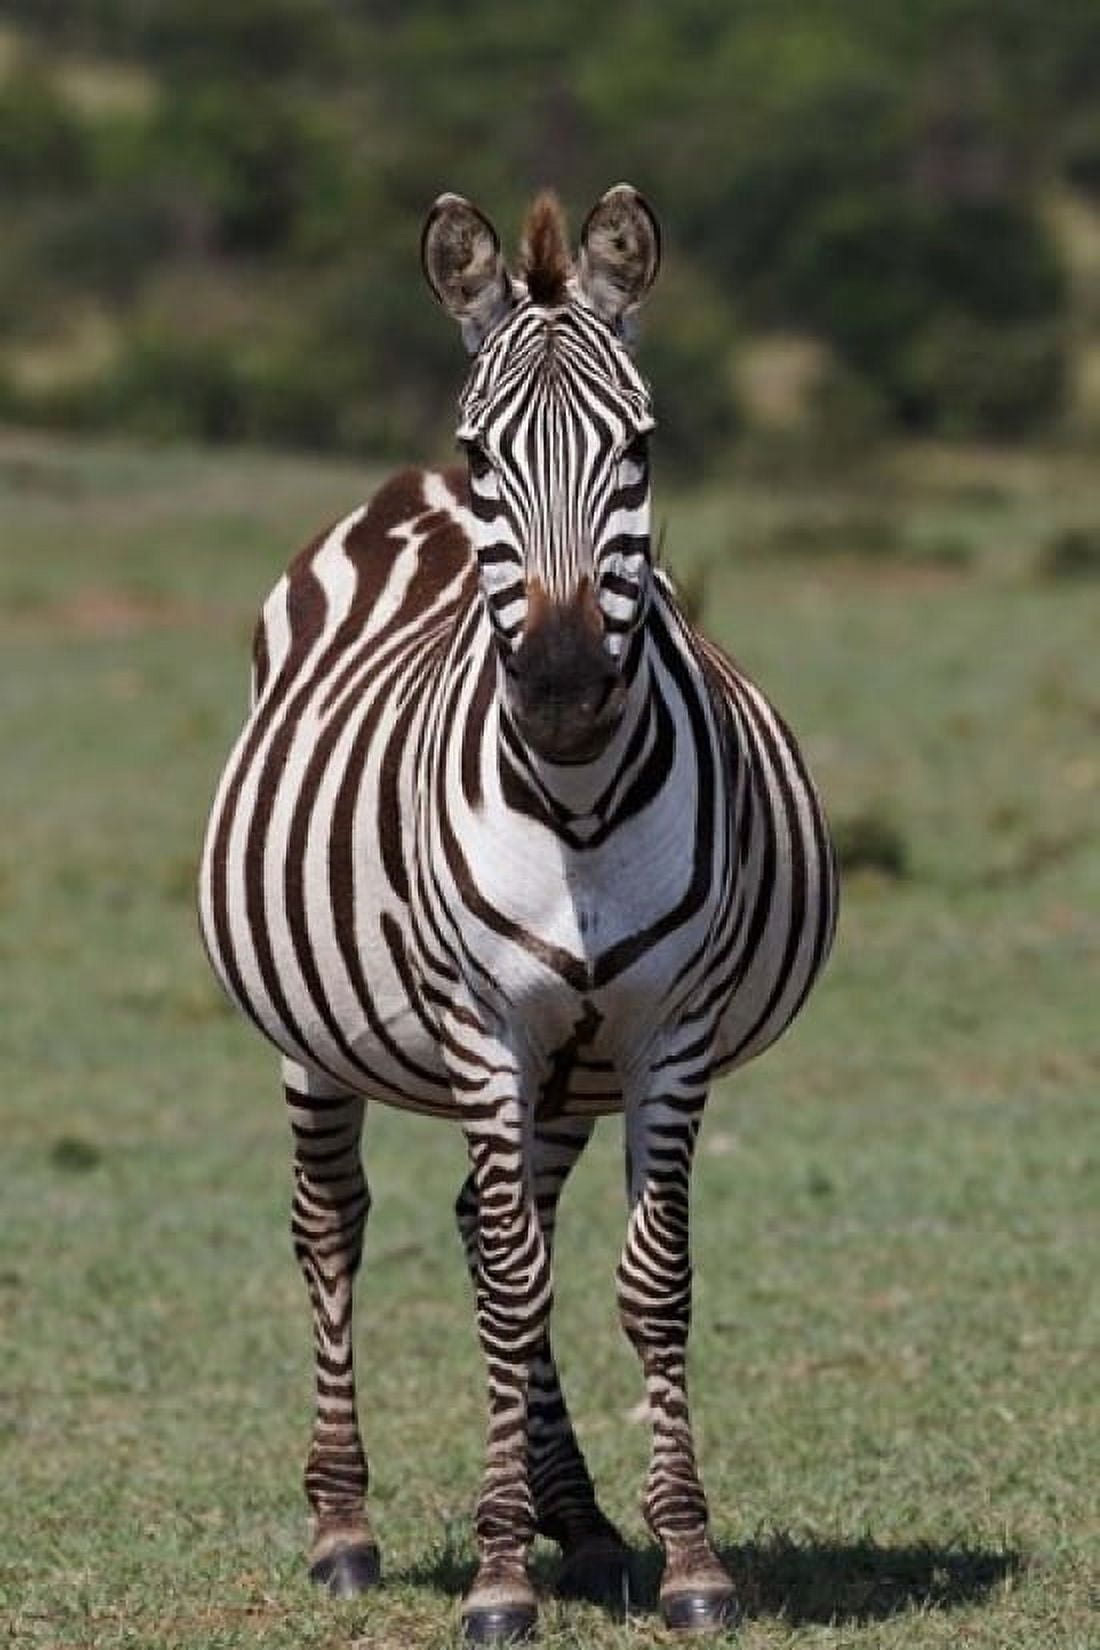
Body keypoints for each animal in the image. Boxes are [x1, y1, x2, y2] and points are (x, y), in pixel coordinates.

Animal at [198, 185, 838, 1642]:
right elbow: (504, 1286)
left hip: (568, 1066)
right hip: (317, 1037)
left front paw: (687, 1555)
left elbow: (644, 1283)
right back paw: (344, 1526)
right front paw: (497, 1577)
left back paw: (586, 1526)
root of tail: (398, 494)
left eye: (642, 449)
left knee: (497, 1227)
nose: (556, 689)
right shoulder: (483, 1023)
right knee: (336, 1226)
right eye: (486, 452)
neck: (581, 805)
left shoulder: (667, 1030)